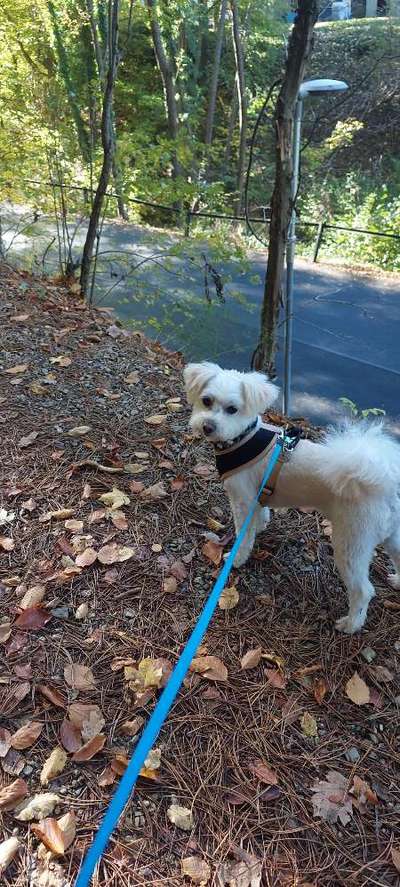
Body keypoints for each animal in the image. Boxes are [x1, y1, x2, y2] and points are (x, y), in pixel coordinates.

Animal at [184, 364, 400, 636]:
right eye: (206, 401)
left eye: (232, 409)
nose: (208, 426)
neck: (243, 438)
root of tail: (383, 484)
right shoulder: (256, 496)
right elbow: (260, 516)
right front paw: (262, 525)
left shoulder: (242, 500)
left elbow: (244, 536)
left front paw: (237, 559)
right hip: (393, 536)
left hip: (352, 543)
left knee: (363, 591)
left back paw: (351, 625)